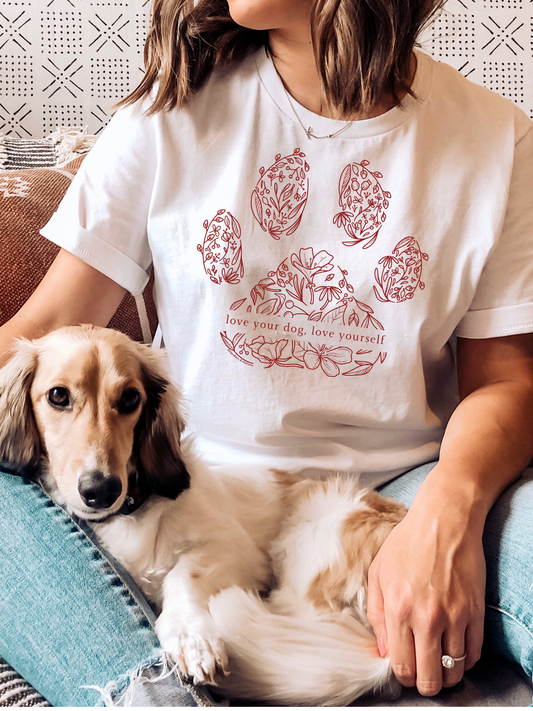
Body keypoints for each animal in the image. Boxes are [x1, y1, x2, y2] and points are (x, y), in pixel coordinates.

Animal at [0, 324, 406, 706]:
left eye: (130, 398)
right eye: (58, 396)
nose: (101, 489)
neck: (131, 514)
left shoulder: (233, 550)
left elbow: (182, 574)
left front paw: (191, 638)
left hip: (308, 550)